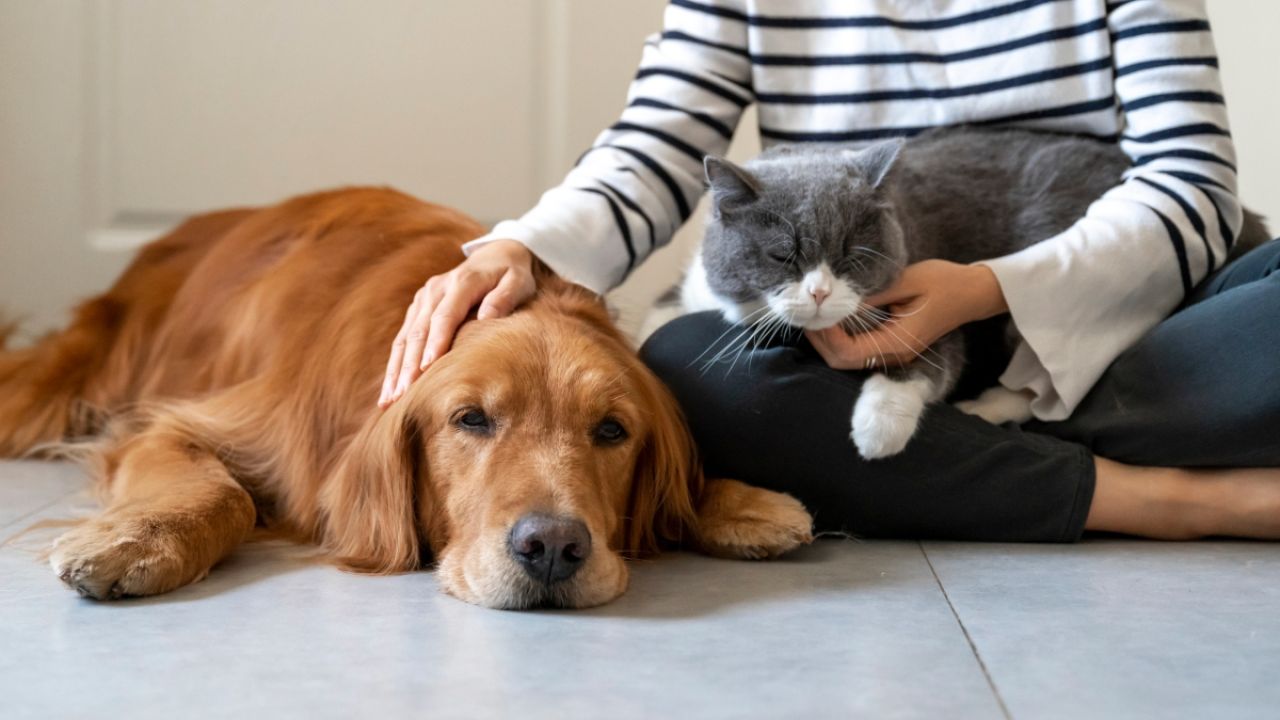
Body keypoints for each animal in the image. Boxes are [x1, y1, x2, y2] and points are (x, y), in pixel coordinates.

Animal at [0, 185, 808, 604]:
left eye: (612, 431)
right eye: (470, 419)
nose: (552, 548)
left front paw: (742, 503)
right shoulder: (179, 424)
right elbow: (222, 492)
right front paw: (134, 541)